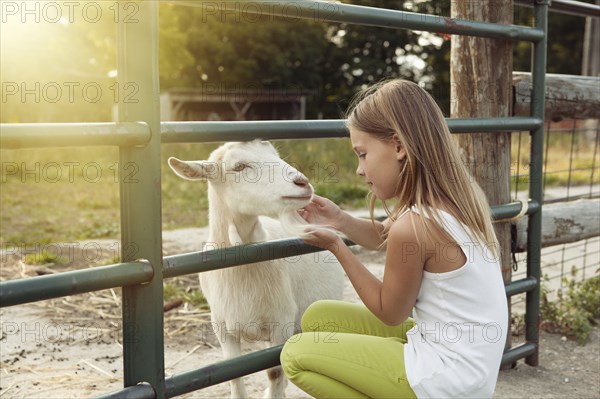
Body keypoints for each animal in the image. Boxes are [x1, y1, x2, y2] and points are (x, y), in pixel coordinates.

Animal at [169, 141, 344, 399]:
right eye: (239, 166)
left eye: (275, 155)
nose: (302, 182)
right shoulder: (222, 325)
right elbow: (233, 373)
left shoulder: (281, 320)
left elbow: (274, 372)